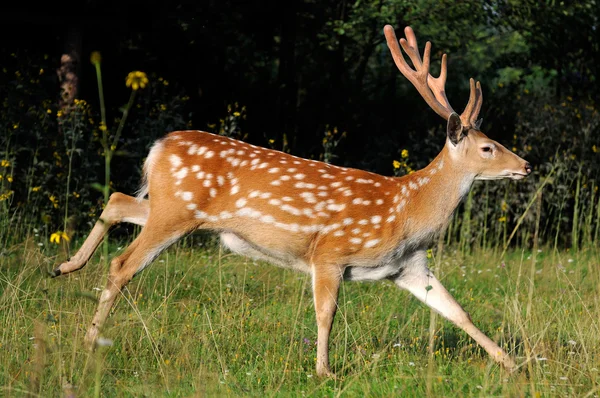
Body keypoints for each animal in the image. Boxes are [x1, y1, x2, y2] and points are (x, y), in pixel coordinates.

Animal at [50, 23, 528, 378]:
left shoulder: (409, 267)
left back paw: (65, 267)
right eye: (488, 148)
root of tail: (158, 146)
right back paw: (89, 340)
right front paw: (324, 370)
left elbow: (458, 312)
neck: (407, 212)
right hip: (176, 212)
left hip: (172, 207)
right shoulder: (330, 252)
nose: (525, 165)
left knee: (117, 199)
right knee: (123, 264)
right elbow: (326, 312)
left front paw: (513, 364)